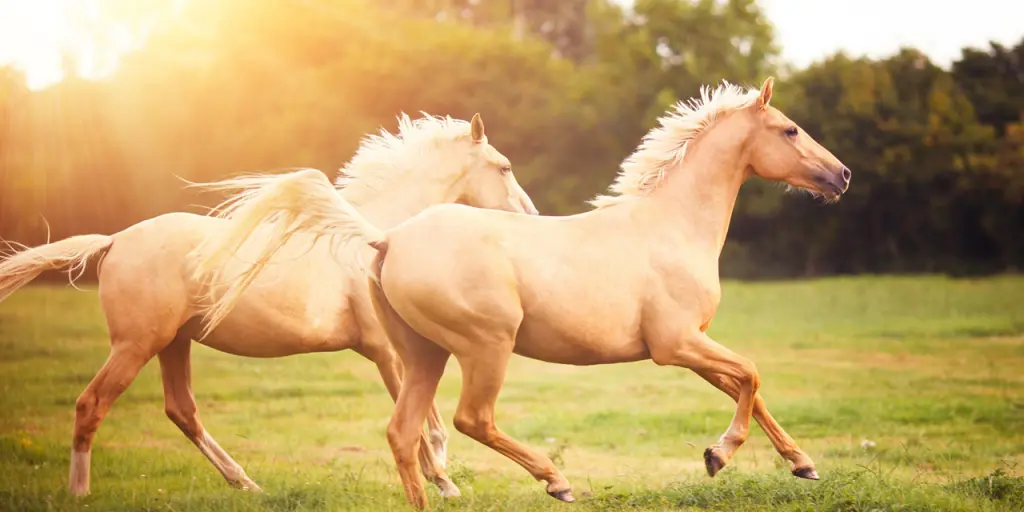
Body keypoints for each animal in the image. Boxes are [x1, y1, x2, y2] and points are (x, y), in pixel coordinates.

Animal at [0, 113, 537, 499]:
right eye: (505, 167)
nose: (531, 216)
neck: (374, 239)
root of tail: (113, 242)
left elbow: (428, 424)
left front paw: (443, 481)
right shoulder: (389, 353)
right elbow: (424, 426)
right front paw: (444, 484)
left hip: (172, 343)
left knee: (182, 411)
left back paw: (246, 483)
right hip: (135, 344)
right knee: (92, 404)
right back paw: (80, 492)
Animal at [191, 77, 851, 509]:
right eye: (789, 129)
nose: (841, 175)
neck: (670, 226)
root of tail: (387, 238)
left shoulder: (692, 345)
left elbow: (748, 388)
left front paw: (803, 465)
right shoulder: (674, 345)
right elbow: (752, 376)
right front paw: (719, 455)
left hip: (422, 354)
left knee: (404, 432)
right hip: (486, 344)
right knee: (469, 419)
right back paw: (555, 480)